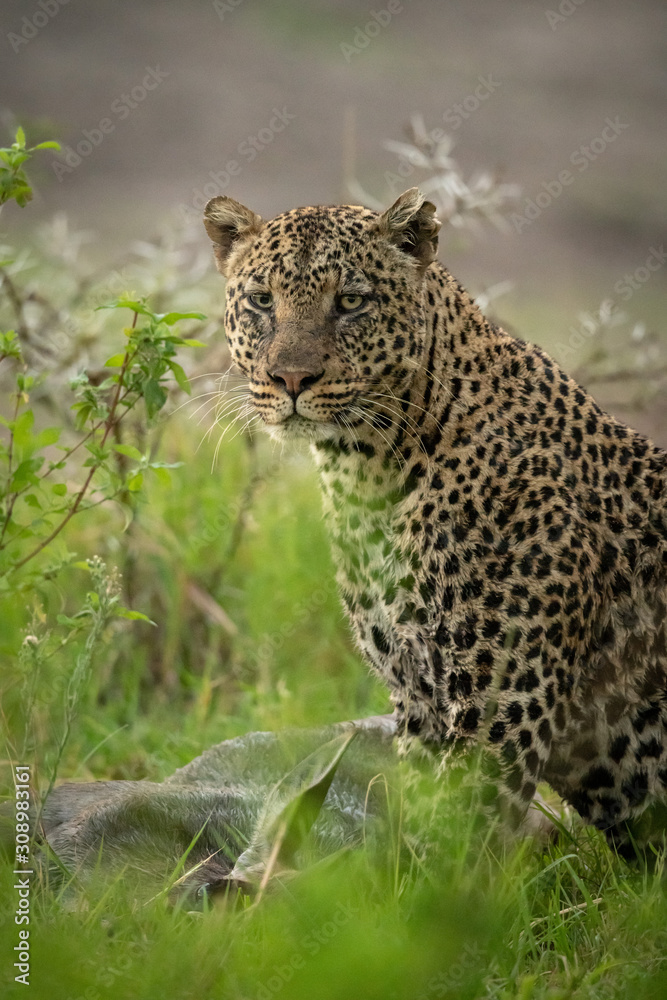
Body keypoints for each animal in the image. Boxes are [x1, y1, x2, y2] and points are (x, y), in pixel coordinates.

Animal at [203, 187, 667, 857]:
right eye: (263, 300)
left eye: (351, 302)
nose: (290, 379)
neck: (367, 473)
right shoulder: (416, 699)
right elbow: (422, 829)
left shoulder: (500, 709)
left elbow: (459, 845)